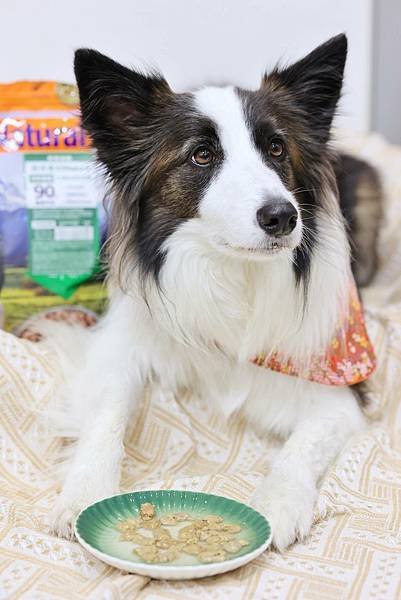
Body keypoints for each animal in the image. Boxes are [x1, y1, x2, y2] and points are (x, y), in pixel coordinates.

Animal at [48, 31, 380, 548]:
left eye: (277, 148)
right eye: (201, 155)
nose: (283, 217)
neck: (230, 273)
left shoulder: (340, 392)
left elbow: (301, 446)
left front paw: (279, 502)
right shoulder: (119, 344)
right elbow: (108, 411)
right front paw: (86, 490)